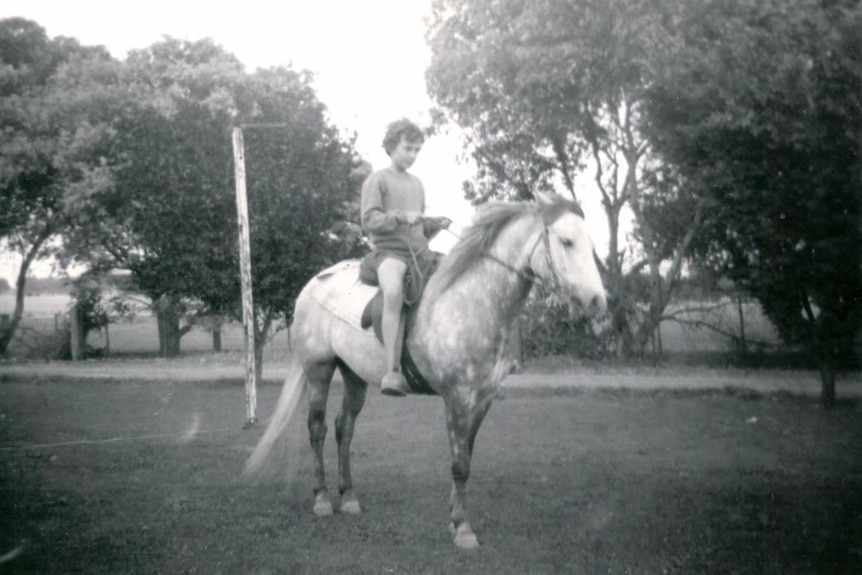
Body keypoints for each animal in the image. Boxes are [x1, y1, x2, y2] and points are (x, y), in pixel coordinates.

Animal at [243, 194, 608, 548]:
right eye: (566, 241)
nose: (597, 301)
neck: (472, 300)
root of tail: (313, 286)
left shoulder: (483, 398)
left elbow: (466, 455)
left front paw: (454, 518)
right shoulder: (457, 397)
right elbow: (460, 464)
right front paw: (463, 529)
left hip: (353, 375)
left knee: (344, 428)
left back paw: (348, 496)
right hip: (319, 369)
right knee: (317, 428)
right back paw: (321, 499)